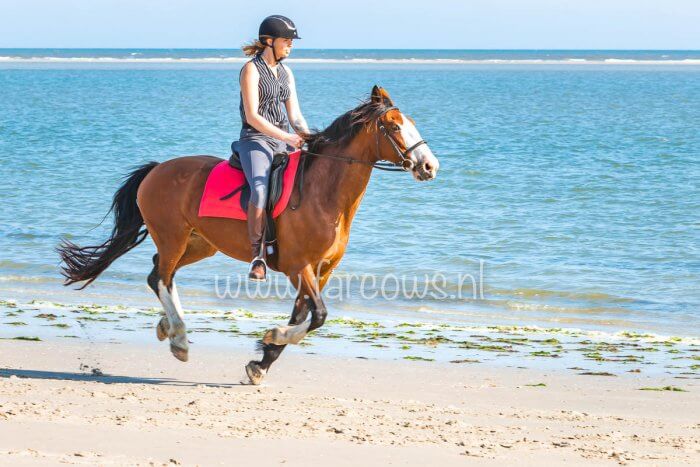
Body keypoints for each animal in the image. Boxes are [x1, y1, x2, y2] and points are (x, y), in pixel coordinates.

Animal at [58, 86, 438, 386]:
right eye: (394, 126)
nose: (430, 166)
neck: (324, 195)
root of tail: (156, 169)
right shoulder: (299, 267)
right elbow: (318, 315)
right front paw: (272, 338)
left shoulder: (322, 270)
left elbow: (304, 315)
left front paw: (261, 362)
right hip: (173, 237)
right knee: (162, 277)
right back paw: (179, 338)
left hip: (200, 244)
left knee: (158, 273)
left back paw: (168, 327)